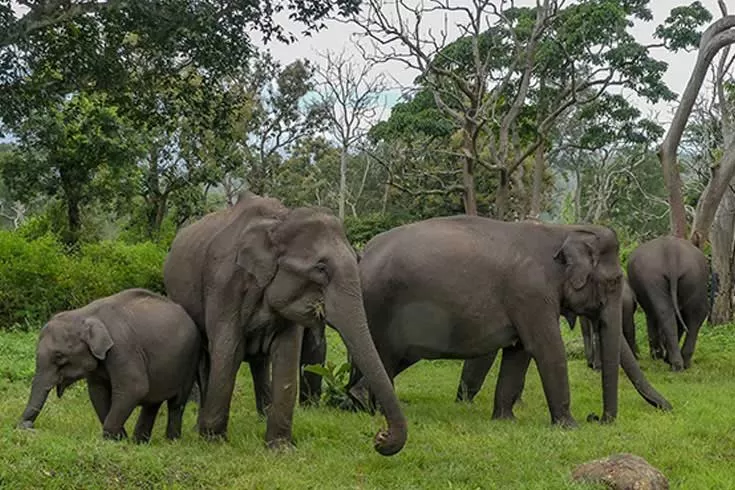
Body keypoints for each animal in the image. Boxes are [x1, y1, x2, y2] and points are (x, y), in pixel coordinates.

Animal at [18, 290, 201, 442]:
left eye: (59, 356)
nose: (28, 425)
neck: (85, 314)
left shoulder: (122, 347)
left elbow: (135, 387)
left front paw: (110, 439)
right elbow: (97, 392)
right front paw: (119, 439)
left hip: (191, 359)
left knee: (176, 404)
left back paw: (171, 440)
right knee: (152, 404)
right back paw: (139, 442)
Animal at [164, 191, 408, 456]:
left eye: (357, 259)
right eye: (321, 268)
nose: (380, 437)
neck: (278, 222)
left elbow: (286, 353)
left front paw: (280, 448)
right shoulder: (223, 286)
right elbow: (229, 350)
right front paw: (214, 442)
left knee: (259, 361)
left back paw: (261, 416)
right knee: (206, 358)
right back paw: (200, 427)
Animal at [350, 216, 672, 426]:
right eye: (614, 281)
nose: (598, 418)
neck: (562, 232)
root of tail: (363, 254)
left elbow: (519, 352)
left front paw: (505, 420)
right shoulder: (531, 293)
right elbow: (546, 348)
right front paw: (569, 426)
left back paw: (357, 405)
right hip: (380, 307)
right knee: (385, 356)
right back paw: (371, 407)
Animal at [624, 235, 712, 370]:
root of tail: (671, 252)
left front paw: (657, 356)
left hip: (654, 277)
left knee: (664, 312)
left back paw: (673, 363)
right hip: (695, 276)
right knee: (696, 313)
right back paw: (683, 362)